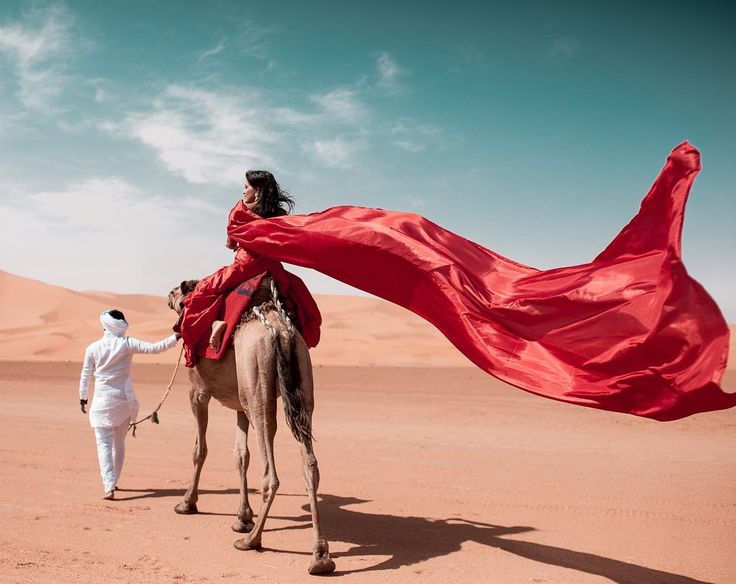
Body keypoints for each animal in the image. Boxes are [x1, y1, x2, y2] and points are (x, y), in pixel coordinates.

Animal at [166, 278, 334, 576]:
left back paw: (252, 540)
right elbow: (241, 456)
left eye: (177, 292)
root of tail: (280, 331)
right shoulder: (238, 405)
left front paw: (187, 502)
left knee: (270, 471)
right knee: (310, 465)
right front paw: (243, 517)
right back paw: (320, 556)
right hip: (300, 382)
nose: (167, 296)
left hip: (257, 377)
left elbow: (200, 450)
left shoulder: (197, 392)